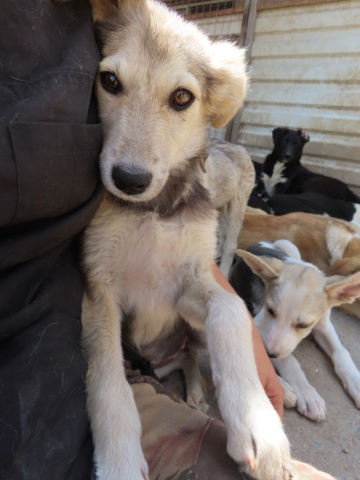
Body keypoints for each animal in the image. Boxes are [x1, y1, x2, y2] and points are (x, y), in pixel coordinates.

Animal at [81, 0, 290, 480]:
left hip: (190, 329)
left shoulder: (190, 279)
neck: (156, 211)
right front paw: (120, 458)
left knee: (194, 354)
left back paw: (196, 389)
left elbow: (231, 309)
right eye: (110, 81)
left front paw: (257, 421)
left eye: (182, 97)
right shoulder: (99, 287)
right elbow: (106, 376)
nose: (130, 179)